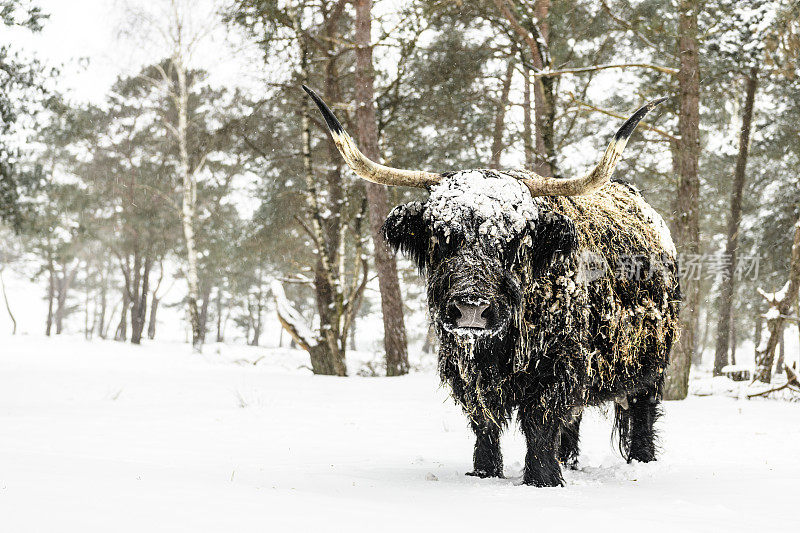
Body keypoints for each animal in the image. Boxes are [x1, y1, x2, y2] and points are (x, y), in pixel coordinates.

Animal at [304, 84, 680, 486]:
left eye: (514, 240)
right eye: (442, 236)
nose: (471, 308)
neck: (499, 347)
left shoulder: (556, 371)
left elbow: (540, 424)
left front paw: (542, 480)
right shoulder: (466, 371)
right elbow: (484, 423)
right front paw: (485, 472)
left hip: (650, 366)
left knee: (641, 412)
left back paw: (641, 461)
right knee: (574, 421)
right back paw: (570, 462)